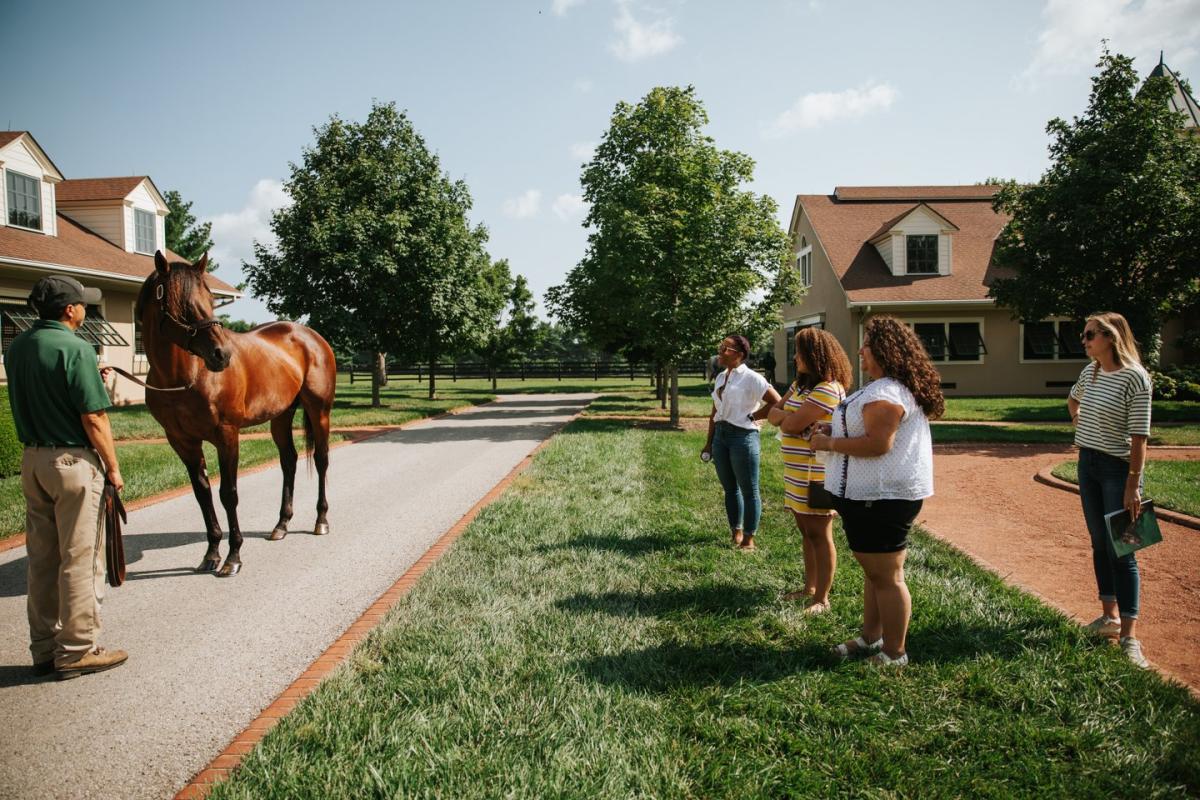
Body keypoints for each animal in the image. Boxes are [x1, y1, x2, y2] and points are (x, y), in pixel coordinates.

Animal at [137, 250, 338, 575]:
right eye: (182, 303)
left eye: (209, 298)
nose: (222, 355)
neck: (183, 377)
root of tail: (309, 334)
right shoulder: (182, 442)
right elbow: (203, 494)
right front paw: (211, 553)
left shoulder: (226, 435)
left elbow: (228, 494)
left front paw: (233, 556)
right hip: (280, 416)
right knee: (289, 461)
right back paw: (281, 524)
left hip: (319, 410)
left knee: (321, 460)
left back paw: (321, 520)